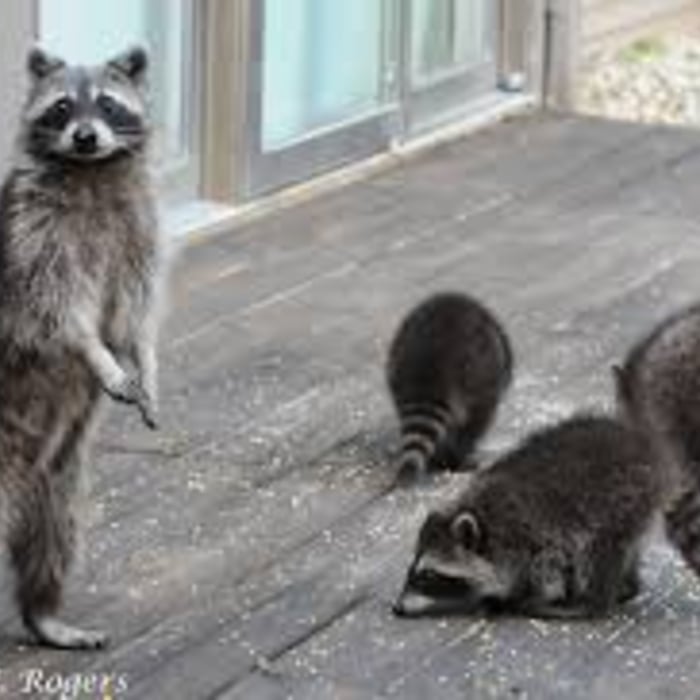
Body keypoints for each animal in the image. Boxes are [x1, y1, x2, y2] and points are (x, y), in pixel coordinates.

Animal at [0, 46, 165, 648]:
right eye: (63, 106)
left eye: (109, 104)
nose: (87, 137)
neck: (91, 171)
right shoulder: (33, 238)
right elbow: (61, 311)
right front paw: (97, 355)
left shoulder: (139, 230)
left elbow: (136, 310)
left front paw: (145, 359)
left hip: (58, 466)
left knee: (57, 522)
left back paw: (43, 611)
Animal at [394, 416, 660, 619]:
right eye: (412, 568)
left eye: (428, 575)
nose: (397, 608)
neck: (484, 518)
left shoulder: (536, 536)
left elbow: (542, 571)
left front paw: (517, 597)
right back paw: (628, 586)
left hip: (617, 503)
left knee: (596, 553)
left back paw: (592, 602)